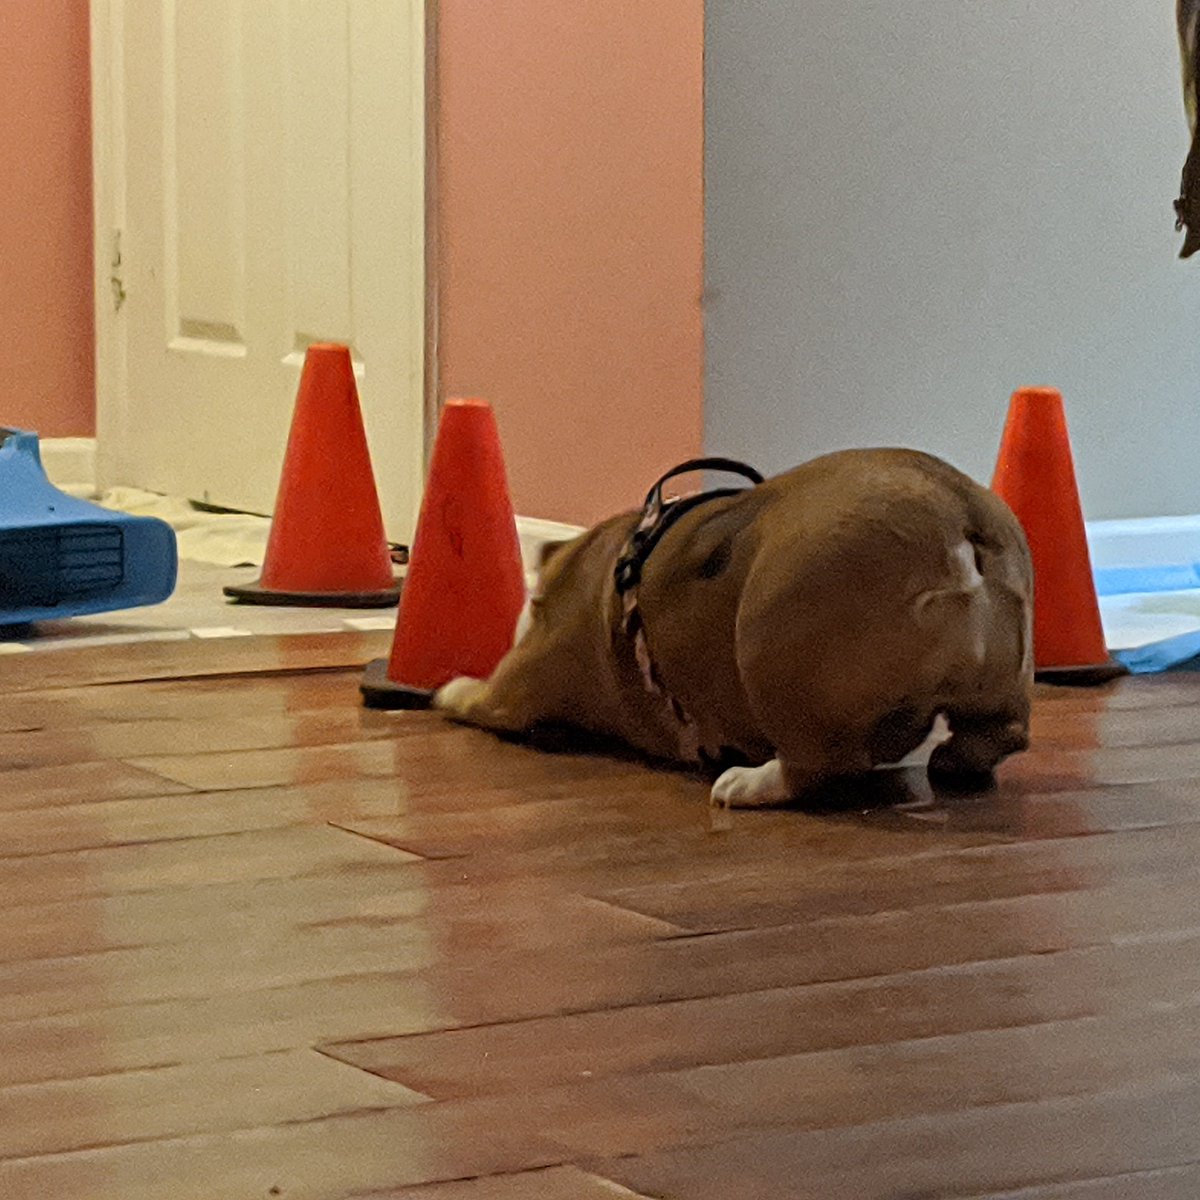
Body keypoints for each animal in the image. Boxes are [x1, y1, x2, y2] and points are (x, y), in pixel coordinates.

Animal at [434, 451, 1032, 806]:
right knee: (999, 733)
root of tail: (953, 519)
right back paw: (956, 759)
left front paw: (450, 688)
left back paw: (748, 783)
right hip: (1003, 682)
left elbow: (471, 696)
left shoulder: (511, 690)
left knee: (819, 765)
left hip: (772, 650)